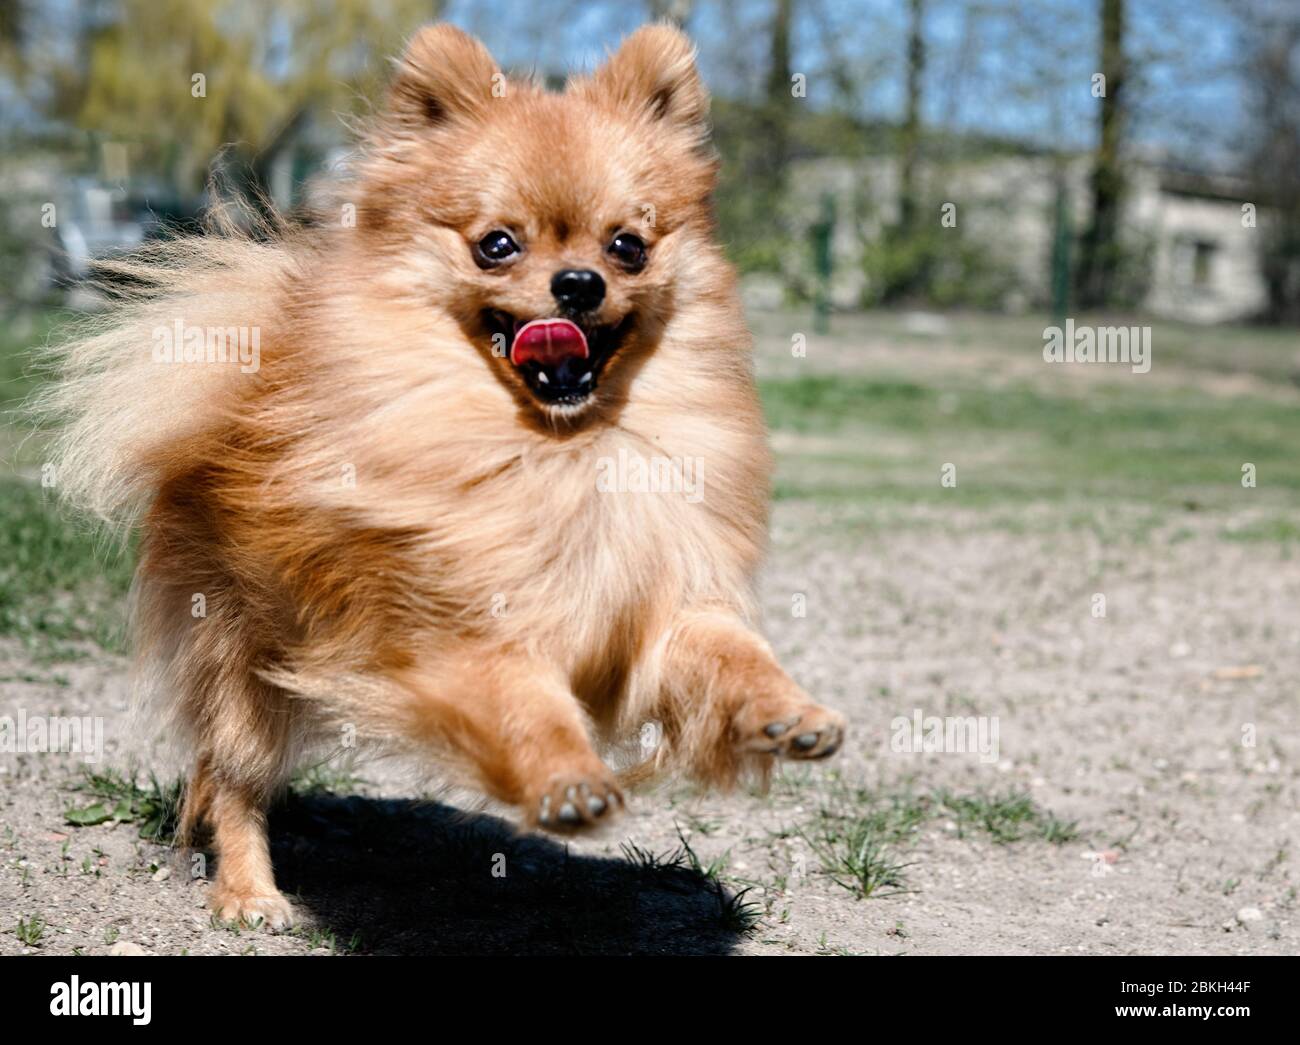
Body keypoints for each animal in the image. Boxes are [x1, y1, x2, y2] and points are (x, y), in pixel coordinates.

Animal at [40, 22, 842, 930]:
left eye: (627, 246)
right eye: (497, 244)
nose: (579, 282)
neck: (563, 453)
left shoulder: (664, 601)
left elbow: (734, 653)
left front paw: (789, 711)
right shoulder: (455, 631)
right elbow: (525, 706)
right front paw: (567, 780)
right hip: (242, 662)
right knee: (233, 778)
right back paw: (248, 892)